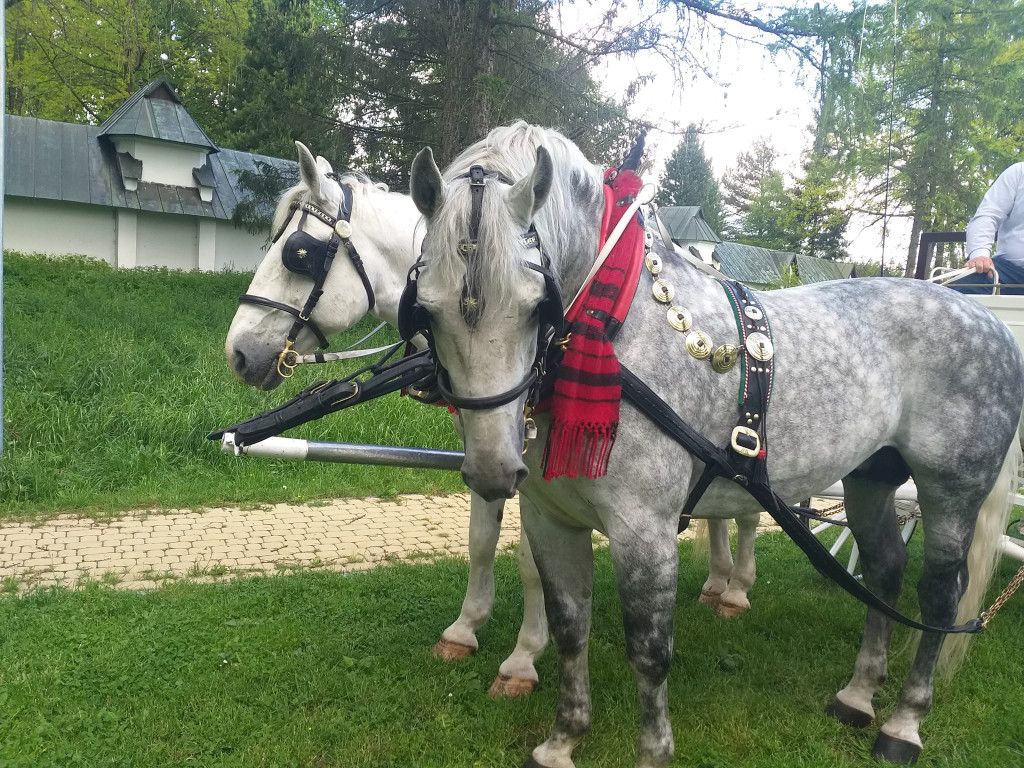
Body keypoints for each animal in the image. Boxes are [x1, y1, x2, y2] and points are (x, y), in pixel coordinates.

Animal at [226, 140, 761, 696]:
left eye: (298, 253)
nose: (238, 352)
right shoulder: (483, 444)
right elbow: (481, 540)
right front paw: (465, 629)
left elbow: (530, 560)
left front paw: (524, 656)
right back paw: (717, 581)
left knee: (747, 510)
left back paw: (736, 588)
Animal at [407, 121, 1024, 768]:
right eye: (426, 308)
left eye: (536, 306)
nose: (493, 470)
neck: (617, 326)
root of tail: (989, 320)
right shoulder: (552, 519)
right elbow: (571, 627)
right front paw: (563, 740)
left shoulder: (644, 529)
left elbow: (649, 649)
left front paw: (653, 752)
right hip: (872, 477)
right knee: (884, 569)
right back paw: (857, 696)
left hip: (952, 489)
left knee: (940, 597)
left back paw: (904, 722)